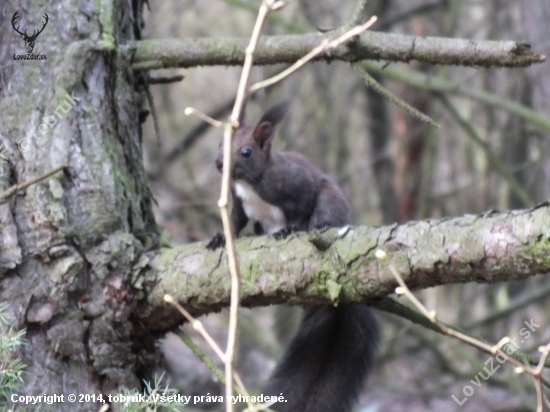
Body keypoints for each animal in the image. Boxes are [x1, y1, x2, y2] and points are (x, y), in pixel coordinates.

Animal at [207, 100, 380, 412]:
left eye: (246, 152)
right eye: (220, 143)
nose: (219, 164)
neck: (251, 183)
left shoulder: (298, 186)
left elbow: (301, 210)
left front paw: (290, 229)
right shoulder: (238, 202)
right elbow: (235, 223)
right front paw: (220, 237)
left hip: (330, 200)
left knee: (323, 215)